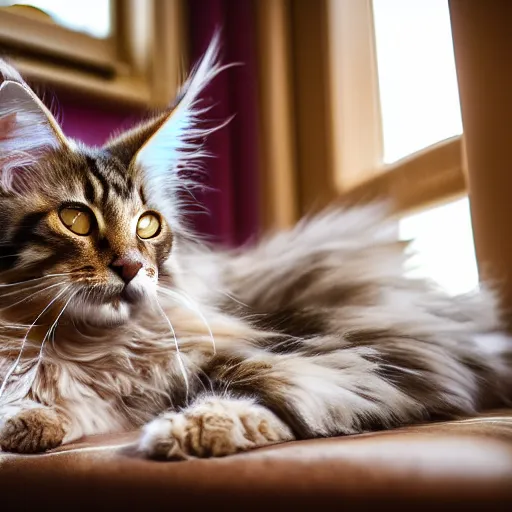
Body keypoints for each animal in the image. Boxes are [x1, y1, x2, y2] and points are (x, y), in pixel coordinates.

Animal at [0, 35, 510, 460]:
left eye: (147, 225)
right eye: (76, 219)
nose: (132, 267)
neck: (84, 346)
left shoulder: (360, 359)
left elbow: (282, 397)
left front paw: (193, 429)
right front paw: (30, 419)